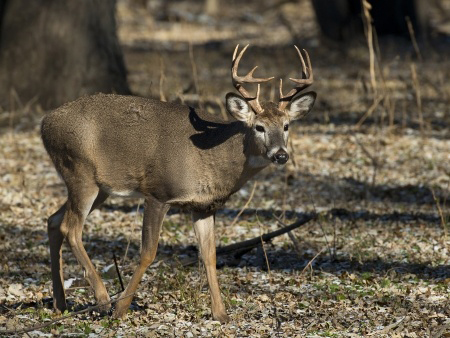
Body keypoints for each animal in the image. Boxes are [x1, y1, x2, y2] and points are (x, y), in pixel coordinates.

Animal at [41, 45, 316, 322]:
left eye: (286, 126)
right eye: (259, 127)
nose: (281, 155)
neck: (213, 156)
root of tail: (44, 124)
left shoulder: (203, 206)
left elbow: (209, 255)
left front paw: (221, 314)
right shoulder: (158, 193)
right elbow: (148, 252)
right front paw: (121, 308)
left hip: (99, 187)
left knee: (53, 220)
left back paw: (60, 303)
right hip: (80, 171)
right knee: (70, 228)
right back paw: (103, 299)